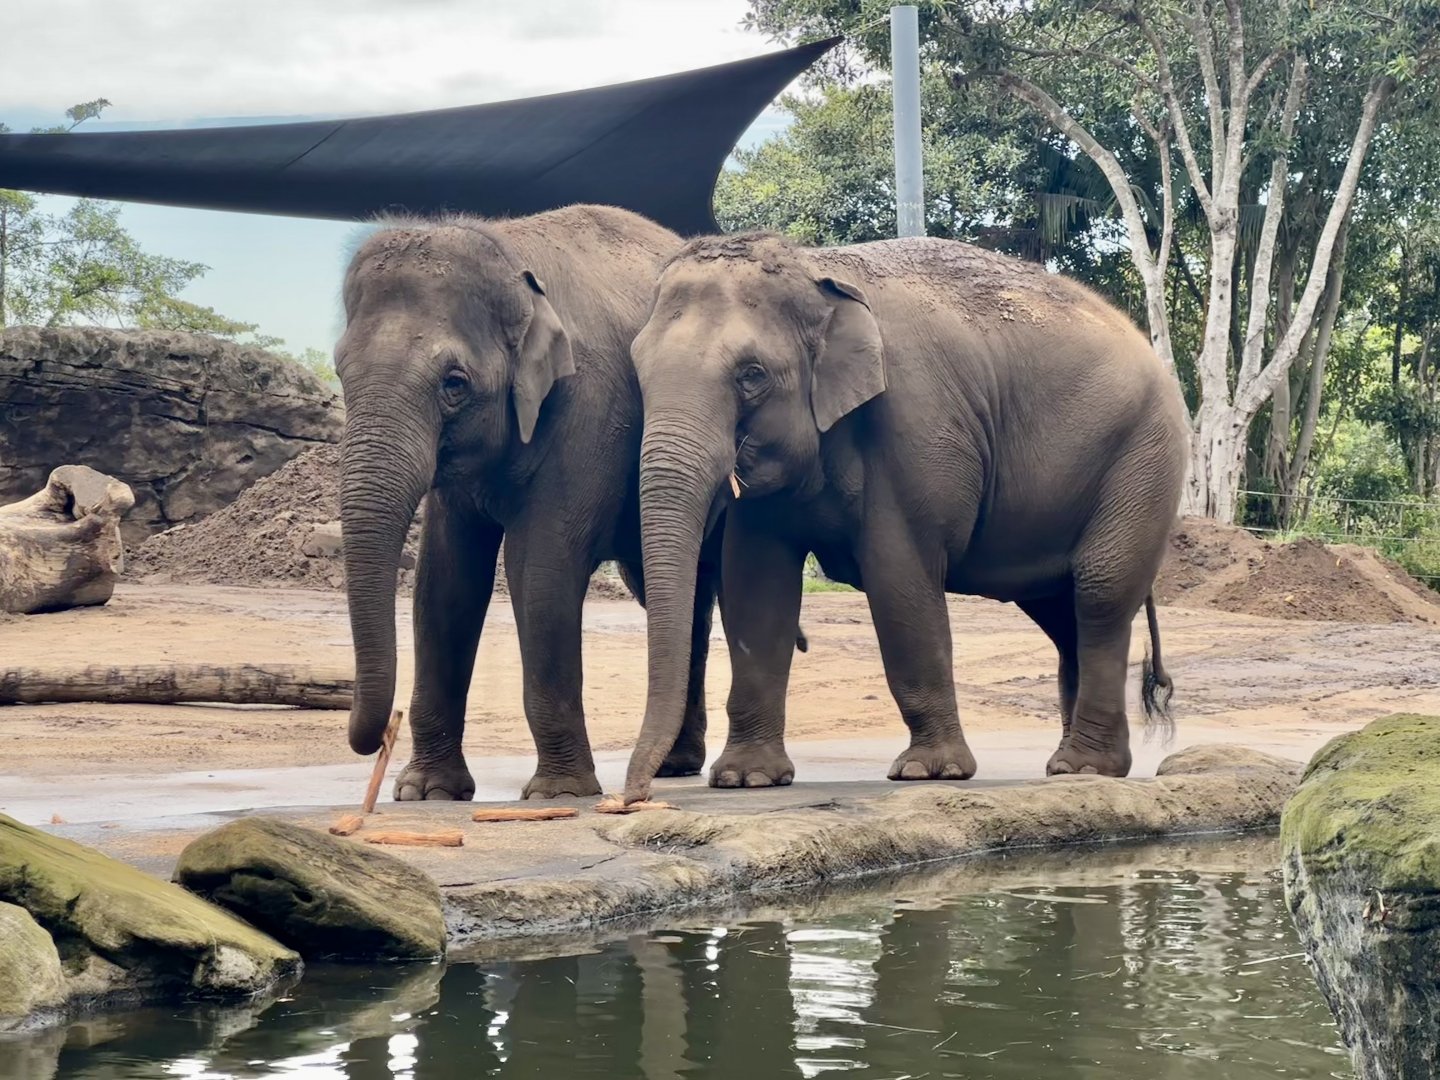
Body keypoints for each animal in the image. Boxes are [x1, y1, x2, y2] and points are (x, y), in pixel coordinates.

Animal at [337, 204, 741, 801]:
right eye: (340, 372)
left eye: (454, 383)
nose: (375, 734)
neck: (511, 255)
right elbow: (446, 582)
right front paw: (428, 792)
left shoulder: (588, 410)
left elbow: (541, 569)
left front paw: (560, 793)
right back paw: (673, 764)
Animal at [622, 232, 1188, 803]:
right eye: (638, 370)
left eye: (751, 374)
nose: (632, 798)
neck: (815, 269)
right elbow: (755, 587)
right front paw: (747, 778)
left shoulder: (916, 425)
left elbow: (899, 579)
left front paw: (930, 772)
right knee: (1062, 612)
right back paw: (1073, 767)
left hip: (1142, 460)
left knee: (1099, 593)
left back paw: (1084, 768)